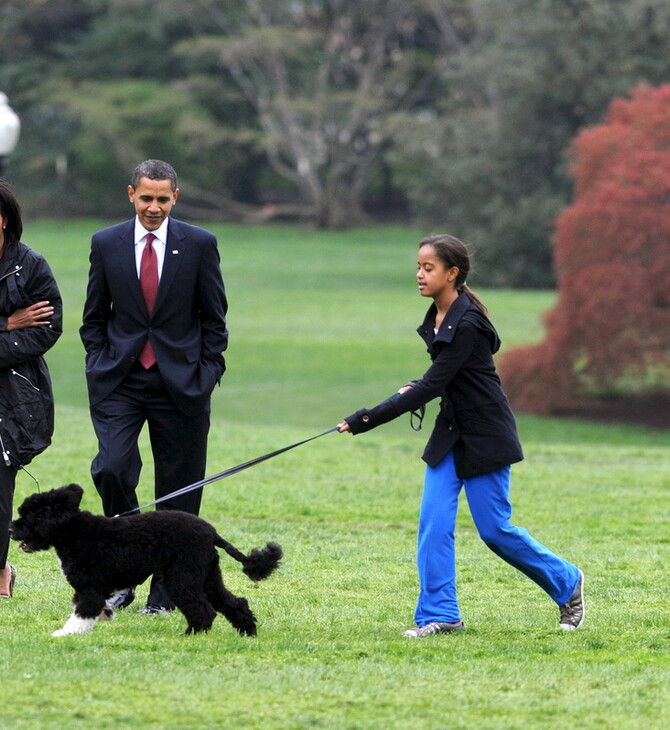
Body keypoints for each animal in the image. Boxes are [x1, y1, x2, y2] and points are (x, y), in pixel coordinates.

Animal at [10, 486, 284, 636]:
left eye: (29, 516)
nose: (11, 529)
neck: (74, 532)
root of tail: (211, 533)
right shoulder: (90, 589)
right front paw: (106, 614)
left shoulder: (89, 587)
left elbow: (82, 613)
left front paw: (65, 634)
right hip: (207, 575)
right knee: (234, 602)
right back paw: (248, 632)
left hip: (181, 577)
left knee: (204, 610)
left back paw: (190, 636)